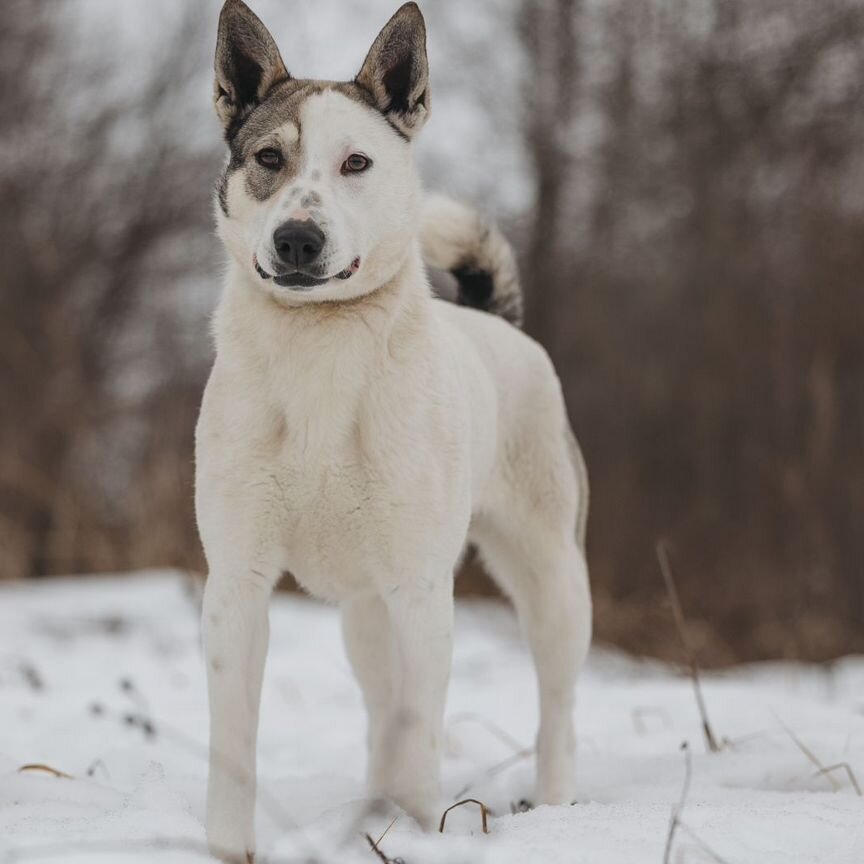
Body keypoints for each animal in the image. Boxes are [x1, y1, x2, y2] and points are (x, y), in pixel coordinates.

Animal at [196, 3, 592, 860]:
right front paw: (228, 847)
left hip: (551, 576)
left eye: (356, 163)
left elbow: (422, 728)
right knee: (381, 707)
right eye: (270, 158)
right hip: (362, 611)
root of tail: (496, 322)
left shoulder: (421, 588)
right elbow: (234, 741)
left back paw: (552, 806)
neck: (319, 346)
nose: (298, 240)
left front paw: (422, 830)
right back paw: (370, 810)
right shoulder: (237, 582)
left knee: (554, 705)